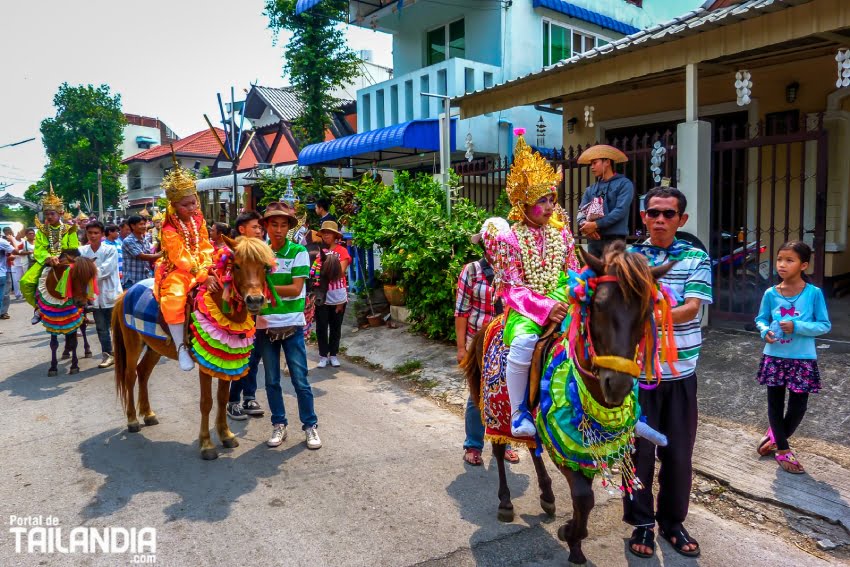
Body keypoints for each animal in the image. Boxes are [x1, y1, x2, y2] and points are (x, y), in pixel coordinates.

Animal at [111, 235, 274, 462]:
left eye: (264, 267)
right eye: (237, 265)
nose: (255, 300)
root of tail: (127, 292)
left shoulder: (226, 360)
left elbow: (222, 398)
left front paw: (226, 435)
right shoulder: (205, 366)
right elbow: (206, 402)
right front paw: (206, 444)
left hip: (154, 347)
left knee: (143, 373)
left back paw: (148, 414)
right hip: (133, 344)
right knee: (130, 376)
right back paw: (133, 419)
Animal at [460, 242, 672, 564]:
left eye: (647, 310)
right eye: (598, 305)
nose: (617, 384)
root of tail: (493, 322)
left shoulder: (585, 449)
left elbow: (584, 498)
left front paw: (573, 538)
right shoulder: (563, 443)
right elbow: (584, 499)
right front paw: (570, 536)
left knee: (531, 445)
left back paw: (547, 496)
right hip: (498, 411)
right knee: (498, 449)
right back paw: (506, 503)